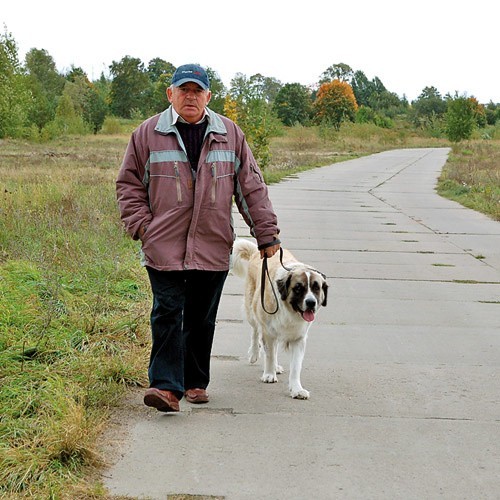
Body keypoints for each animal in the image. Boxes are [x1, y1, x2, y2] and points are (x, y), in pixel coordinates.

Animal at [231, 238, 328, 398]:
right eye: (298, 288)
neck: (290, 310)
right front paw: (269, 375)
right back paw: (254, 353)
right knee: (255, 331)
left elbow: (295, 366)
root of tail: (257, 252)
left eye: (316, 288)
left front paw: (297, 389)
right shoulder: (268, 331)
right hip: (252, 310)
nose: (311, 302)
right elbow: (269, 354)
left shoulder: (298, 338)